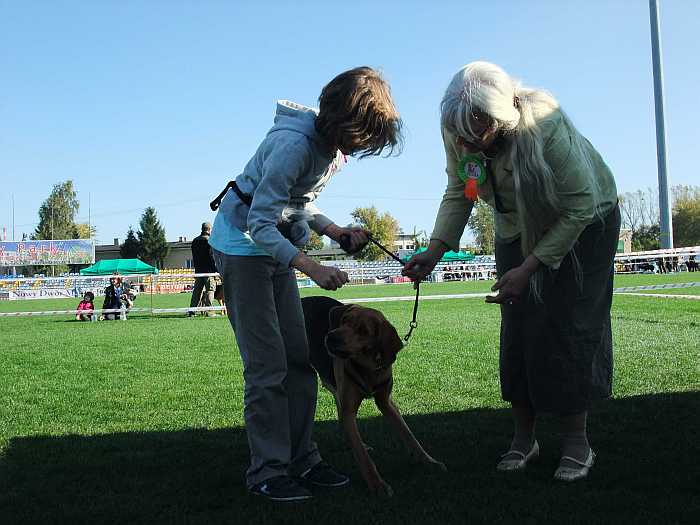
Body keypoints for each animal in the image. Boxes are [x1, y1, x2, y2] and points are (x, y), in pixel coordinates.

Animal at [300, 294, 442, 496]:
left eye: (363, 331)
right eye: (344, 321)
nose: (331, 337)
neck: (367, 367)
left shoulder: (386, 402)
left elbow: (408, 434)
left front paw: (428, 460)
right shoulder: (350, 408)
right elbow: (363, 456)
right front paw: (377, 484)